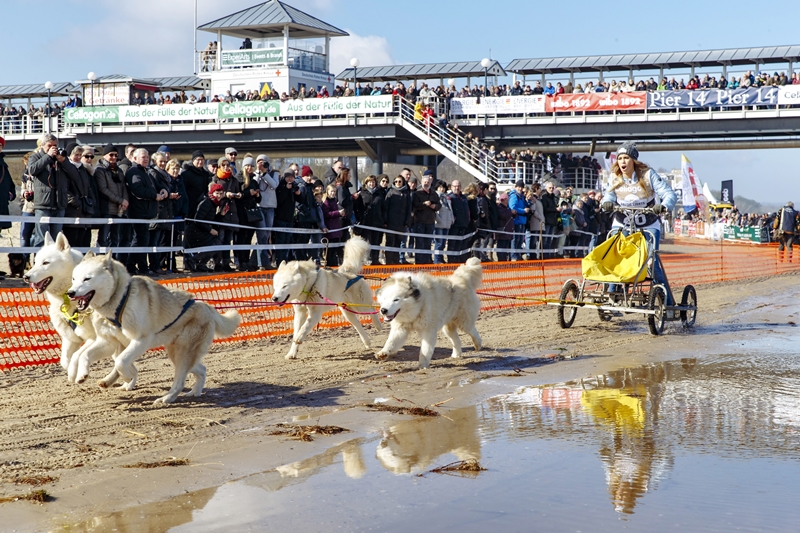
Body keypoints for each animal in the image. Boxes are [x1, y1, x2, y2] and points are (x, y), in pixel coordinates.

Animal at [66, 249, 241, 404]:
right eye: (73, 278)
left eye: (87, 279)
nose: (70, 293)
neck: (120, 301)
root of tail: (207, 307)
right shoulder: (108, 342)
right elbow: (84, 355)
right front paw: (82, 375)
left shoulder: (141, 340)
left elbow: (121, 362)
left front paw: (127, 377)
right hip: (176, 353)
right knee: (202, 370)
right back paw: (195, 392)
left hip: (182, 353)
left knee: (180, 381)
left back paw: (166, 398)